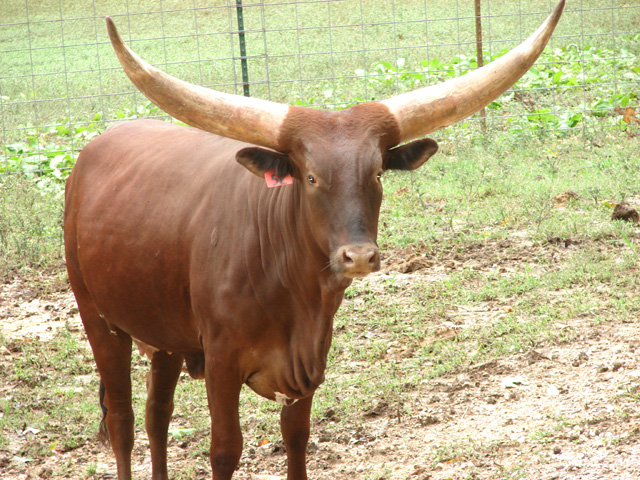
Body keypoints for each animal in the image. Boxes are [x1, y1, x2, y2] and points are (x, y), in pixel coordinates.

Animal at [63, 1, 564, 478]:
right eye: (310, 177)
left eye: (377, 172)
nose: (359, 257)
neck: (293, 293)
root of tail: (96, 147)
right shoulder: (222, 360)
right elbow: (224, 450)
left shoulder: (308, 364)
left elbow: (297, 439)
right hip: (98, 318)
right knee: (123, 420)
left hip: (163, 331)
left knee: (157, 414)